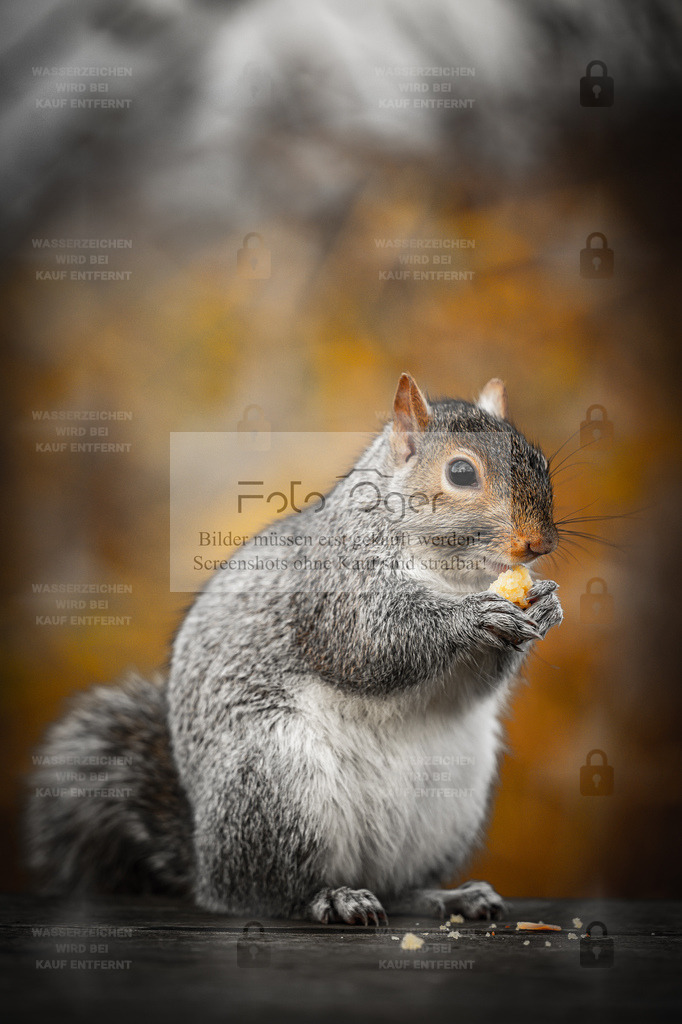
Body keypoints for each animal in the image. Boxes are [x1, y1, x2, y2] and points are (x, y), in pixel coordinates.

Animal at [25, 373, 562, 924]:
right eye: (460, 472)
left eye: (542, 463)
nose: (539, 545)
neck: (453, 571)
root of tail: (206, 865)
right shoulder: (335, 589)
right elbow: (371, 643)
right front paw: (473, 616)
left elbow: (475, 685)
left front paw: (544, 605)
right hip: (277, 783)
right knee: (271, 890)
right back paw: (332, 898)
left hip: (451, 803)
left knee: (396, 887)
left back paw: (446, 896)